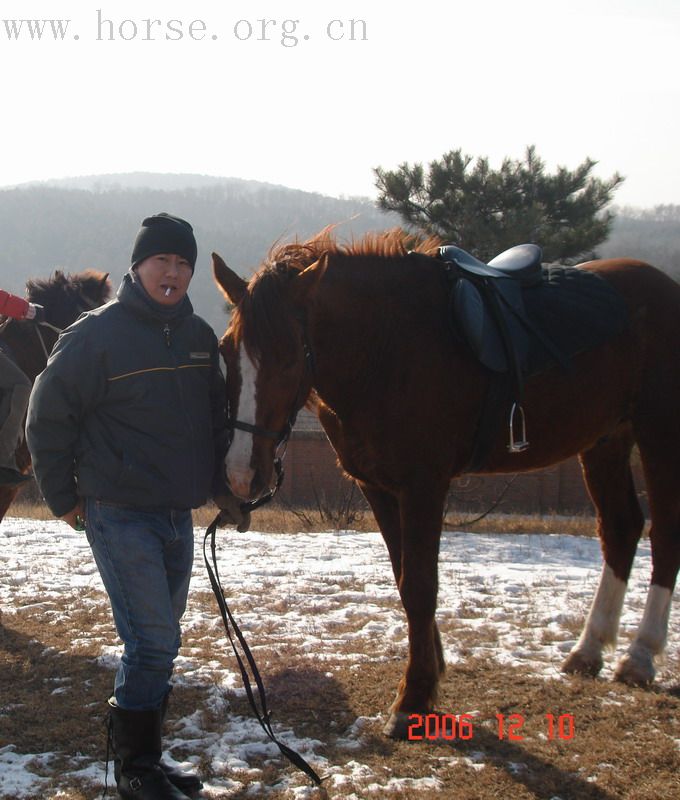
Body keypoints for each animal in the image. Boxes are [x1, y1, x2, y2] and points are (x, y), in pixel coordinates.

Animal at [212, 230, 680, 736]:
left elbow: (420, 586)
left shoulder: (423, 486)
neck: (386, 347)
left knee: (663, 535)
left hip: (659, 433)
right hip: (606, 440)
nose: (241, 473)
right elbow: (404, 582)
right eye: (225, 351)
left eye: (289, 357)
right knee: (620, 529)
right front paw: (430, 672)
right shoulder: (379, 487)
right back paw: (589, 650)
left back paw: (640, 655)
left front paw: (412, 699)